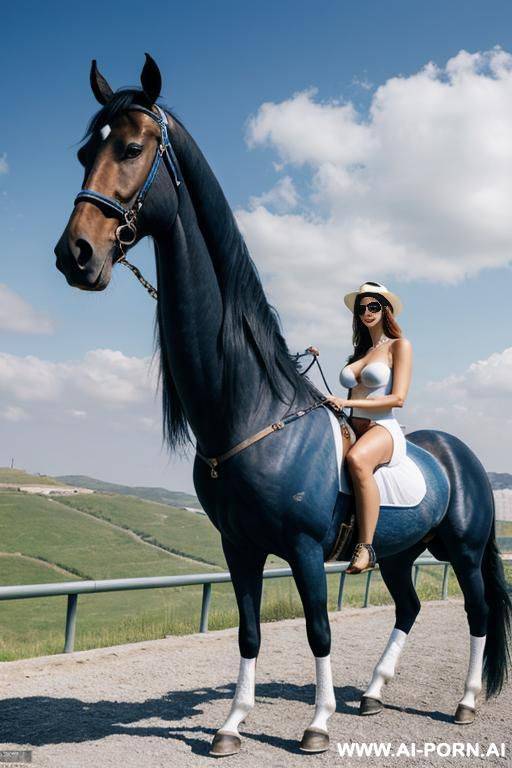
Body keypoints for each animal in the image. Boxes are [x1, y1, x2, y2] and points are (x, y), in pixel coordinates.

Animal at [54, 54, 512, 756]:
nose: (75, 253)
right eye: (84, 152)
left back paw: (462, 702)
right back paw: (371, 694)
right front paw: (231, 725)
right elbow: (249, 633)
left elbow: (318, 629)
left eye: (131, 148)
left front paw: (316, 725)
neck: (249, 412)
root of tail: (462, 455)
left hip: (462, 550)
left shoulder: (302, 550)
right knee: (407, 607)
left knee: (478, 613)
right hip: (400, 553)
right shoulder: (238, 548)